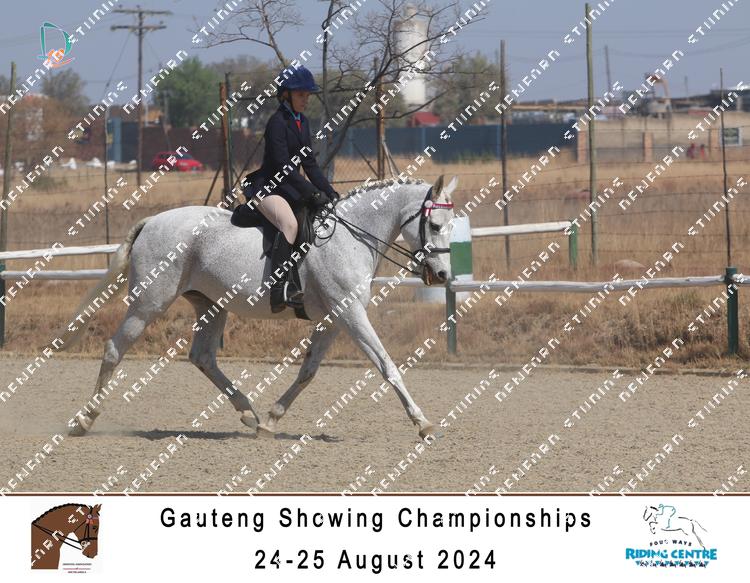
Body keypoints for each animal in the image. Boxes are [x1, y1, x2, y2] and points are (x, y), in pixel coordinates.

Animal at [58, 175, 458, 440]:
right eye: (436, 224)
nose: (441, 275)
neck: (352, 236)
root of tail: (152, 221)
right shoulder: (350, 314)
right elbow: (387, 365)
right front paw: (423, 424)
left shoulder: (333, 318)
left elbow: (308, 371)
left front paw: (270, 419)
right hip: (149, 303)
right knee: (115, 348)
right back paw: (84, 420)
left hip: (210, 305)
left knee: (202, 357)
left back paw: (248, 413)